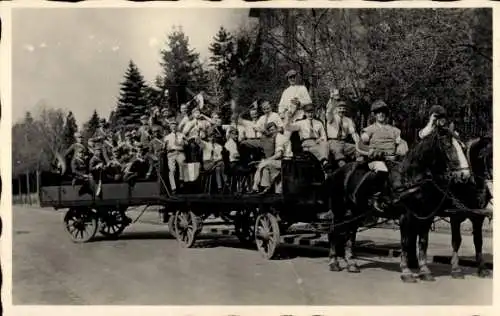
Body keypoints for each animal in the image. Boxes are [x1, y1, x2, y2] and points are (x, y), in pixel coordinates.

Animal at [328, 127, 472, 282]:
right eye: (448, 146)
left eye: (463, 147)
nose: (465, 175)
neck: (411, 177)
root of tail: (337, 172)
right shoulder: (405, 216)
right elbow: (406, 242)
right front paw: (406, 271)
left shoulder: (426, 217)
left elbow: (423, 243)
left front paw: (424, 271)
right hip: (339, 210)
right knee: (334, 231)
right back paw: (333, 262)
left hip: (356, 212)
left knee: (351, 233)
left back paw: (351, 264)